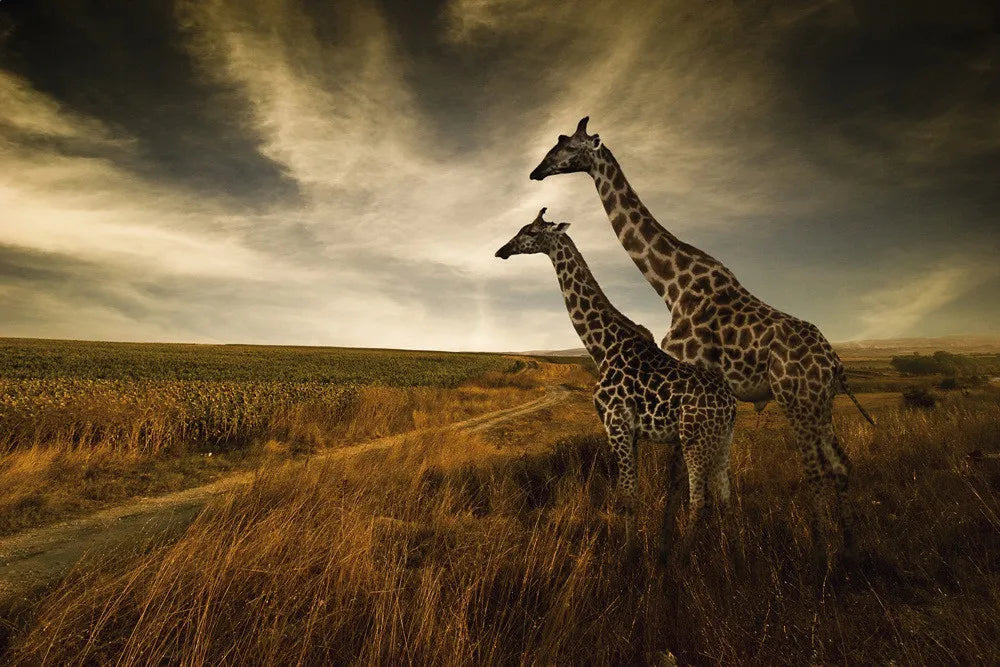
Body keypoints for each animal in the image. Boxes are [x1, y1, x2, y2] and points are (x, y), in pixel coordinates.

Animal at [495, 208, 737, 557]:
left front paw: (628, 555)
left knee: (699, 500)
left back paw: (683, 555)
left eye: (529, 231)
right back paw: (731, 550)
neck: (602, 347)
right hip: (722, 441)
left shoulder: (616, 424)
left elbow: (626, 496)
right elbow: (630, 493)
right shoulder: (631, 432)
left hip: (695, 440)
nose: (501, 250)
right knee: (725, 497)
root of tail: (731, 406)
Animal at [529, 117, 875, 561]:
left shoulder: (689, 371)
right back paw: (849, 547)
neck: (670, 283)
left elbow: (678, 476)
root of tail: (836, 365)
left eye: (567, 146)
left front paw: (670, 548)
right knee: (839, 464)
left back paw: (819, 550)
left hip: (796, 399)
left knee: (815, 468)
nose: (536, 172)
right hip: (820, 404)